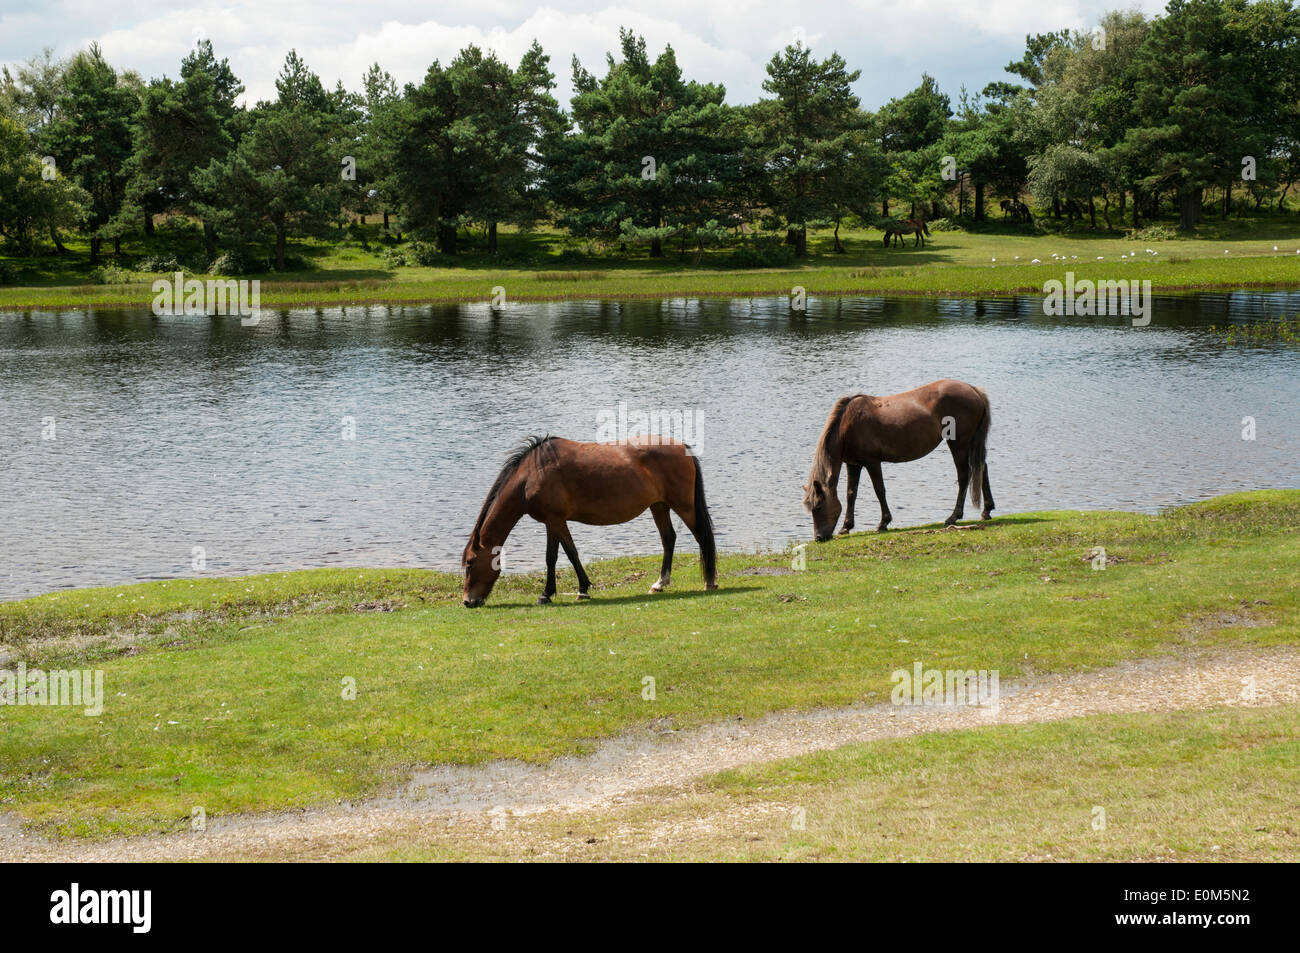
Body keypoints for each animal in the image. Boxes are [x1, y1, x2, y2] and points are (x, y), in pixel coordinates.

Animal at [462, 435, 718, 607]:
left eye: (471, 563)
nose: (467, 601)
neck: (531, 475)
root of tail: (682, 447)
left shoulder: (553, 520)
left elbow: (553, 557)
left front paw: (547, 594)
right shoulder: (557, 522)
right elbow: (570, 552)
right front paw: (582, 589)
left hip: (684, 506)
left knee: (701, 537)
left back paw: (710, 582)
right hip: (659, 506)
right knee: (668, 539)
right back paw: (660, 583)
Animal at [802, 380, 994, 542]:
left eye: (818, 506)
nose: (819, 537)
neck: (847, 426)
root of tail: (973, 389)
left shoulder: (872, 462)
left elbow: (879, 490)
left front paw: (883, 522)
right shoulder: (853, 464)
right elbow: (851, 494)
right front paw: (846, 527)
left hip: (959, 444)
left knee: (964, 476)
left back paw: (954, 516)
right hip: (972, 443)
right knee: (981, 468)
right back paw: (987, 510)